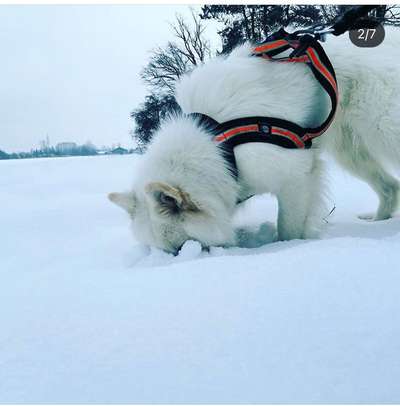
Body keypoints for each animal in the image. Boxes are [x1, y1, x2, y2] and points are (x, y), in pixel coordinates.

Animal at [108, 27, 400, 254]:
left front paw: (289, 248)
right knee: (390, 187)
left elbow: (288, 228)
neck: (218, 143)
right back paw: (377, 220)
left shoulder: (295, 176)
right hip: (351, 152)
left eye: (181, 247)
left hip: (385, 131)